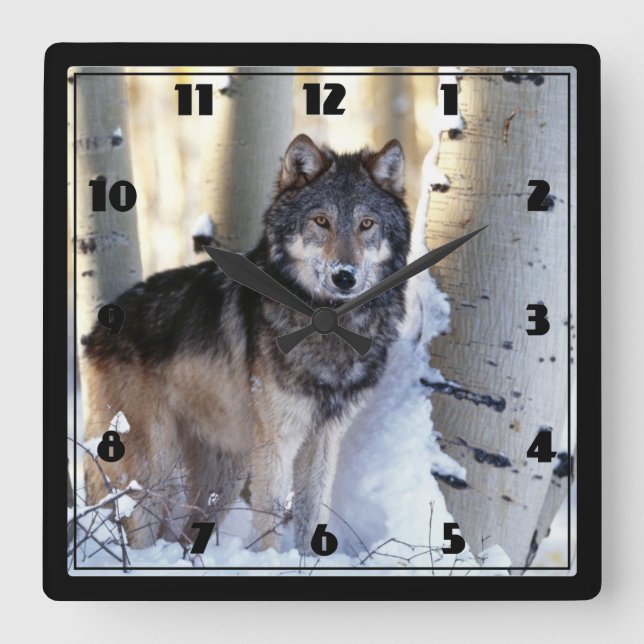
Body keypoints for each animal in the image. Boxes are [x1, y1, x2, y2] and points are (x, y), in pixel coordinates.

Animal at [82, 133, 411, 554]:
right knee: (138, 527)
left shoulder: (324, 438)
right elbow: (269, 522)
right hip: (155, 465)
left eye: (366, 224)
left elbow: (312, 516)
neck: (328, 324)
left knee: (183, 533)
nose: (344, 276)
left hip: (226, 472)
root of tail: (96, 329)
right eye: (322, 221)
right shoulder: (277, 440)